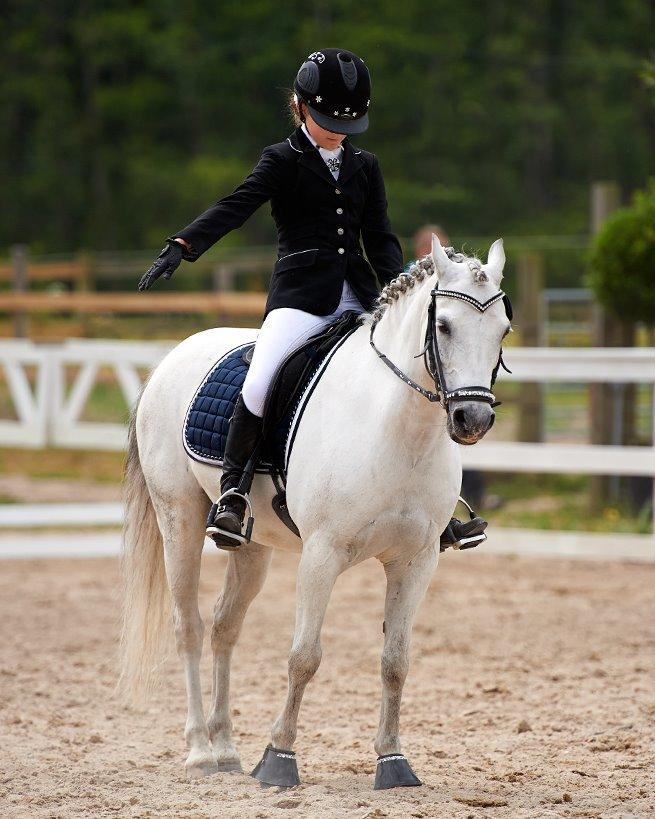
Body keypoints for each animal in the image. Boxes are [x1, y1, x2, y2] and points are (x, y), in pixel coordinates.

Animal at [119, 234, 511, 787]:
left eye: (503, 328)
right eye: (444, 326)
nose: (471, 419)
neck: (400, 430)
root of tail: (172, 357)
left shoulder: (416, 561)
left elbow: (396, 660)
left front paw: (393, 761)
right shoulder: (322, 554)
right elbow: (304, 656)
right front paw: (278, 758)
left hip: (252, 545)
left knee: (224, 627)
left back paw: (225, 747)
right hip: (179, 519)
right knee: (189, 627)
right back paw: (199, 750)